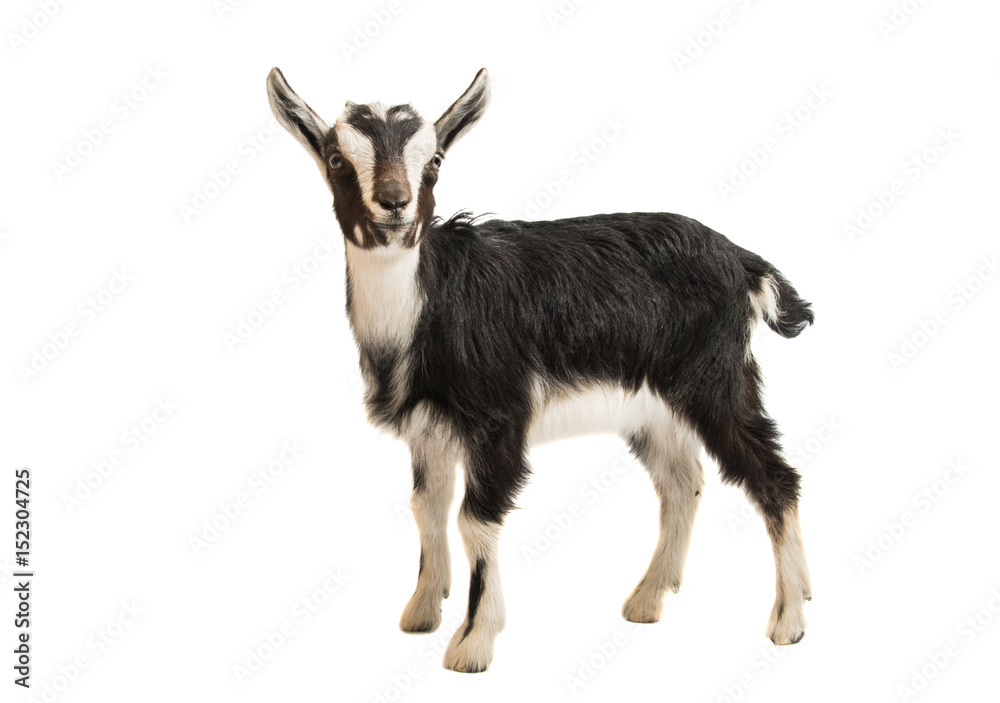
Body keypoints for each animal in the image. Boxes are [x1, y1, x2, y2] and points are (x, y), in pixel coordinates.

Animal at [266, 67, 813, 673]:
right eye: (337, 158)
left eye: (435, 160)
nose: (394, 202)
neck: (432, 300)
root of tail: (741, 261)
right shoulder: (428, 429)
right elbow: (426, 508)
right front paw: (422, 611)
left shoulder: (499, 421)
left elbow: (475, 519)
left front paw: (473, 642)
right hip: (653, 407)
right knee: (682, 483)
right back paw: (649, 598)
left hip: (715, 381)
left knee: (774, 478)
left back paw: (789, 620)